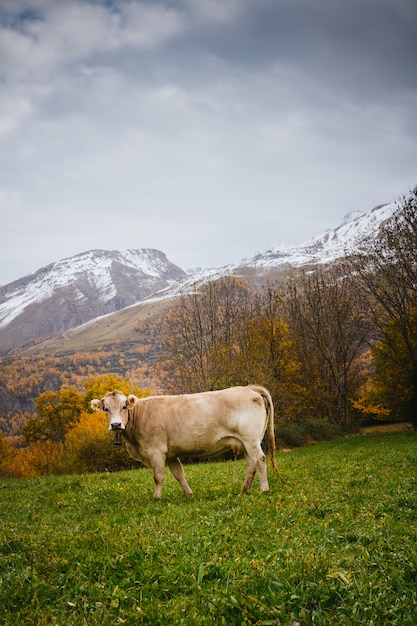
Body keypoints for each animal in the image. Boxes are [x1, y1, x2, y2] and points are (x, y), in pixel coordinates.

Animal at [91, 380, 280, 498]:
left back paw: (264, 489)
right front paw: (189, 493)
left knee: (260, 459)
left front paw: (156, 497)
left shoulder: (156, 451)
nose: (116, 424)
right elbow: (178, 474)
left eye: (124, 406)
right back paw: (245, 489)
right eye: (106, 409)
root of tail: (250, 388)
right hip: (246, 442)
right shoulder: (171, 454)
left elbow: (158, 476)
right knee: (251, 463)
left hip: (251, 439)